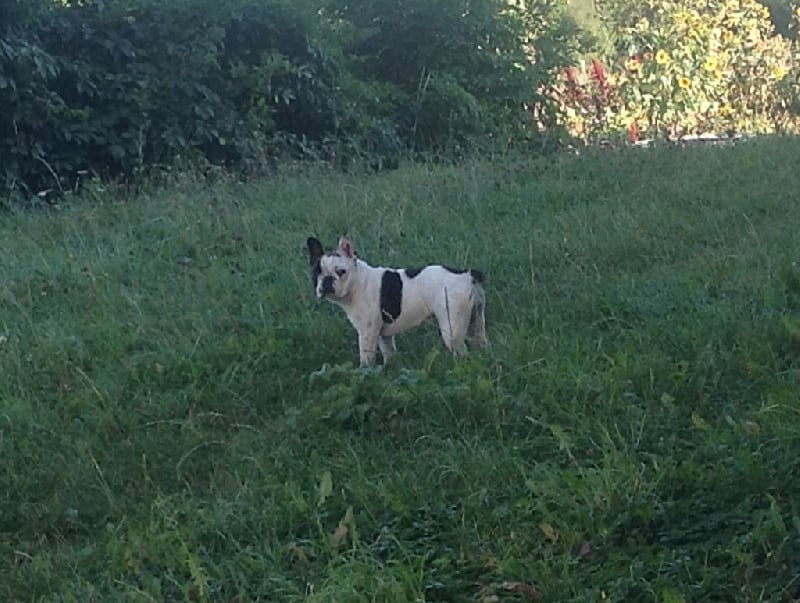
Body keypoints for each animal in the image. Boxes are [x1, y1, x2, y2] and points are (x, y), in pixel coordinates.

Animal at [306, 235, 487, 367]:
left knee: (461, 352)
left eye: (341, 271)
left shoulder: (367, 333)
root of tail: (468, 275)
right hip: (476, 320)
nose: (327, 281)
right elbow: (389, 353)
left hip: (452, 327)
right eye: (316, 272)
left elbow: (366, 359)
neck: (358, 283)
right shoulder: (382, 335)